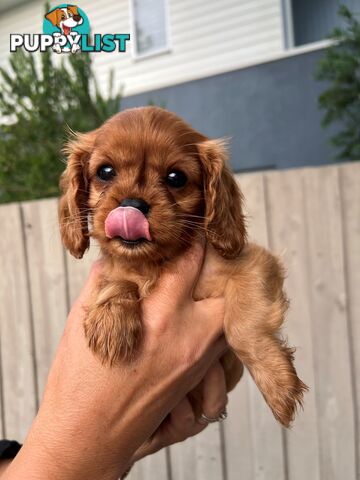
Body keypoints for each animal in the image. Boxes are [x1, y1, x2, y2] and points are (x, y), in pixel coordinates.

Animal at [59, 107, 306, 426]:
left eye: (176, 177)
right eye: (105, 172)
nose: (132, 205)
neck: (155, 263)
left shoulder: (255, 265)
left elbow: (243, 327)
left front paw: (278, 385)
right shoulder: (112, 270)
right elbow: (117, 279)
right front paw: (112, 323)